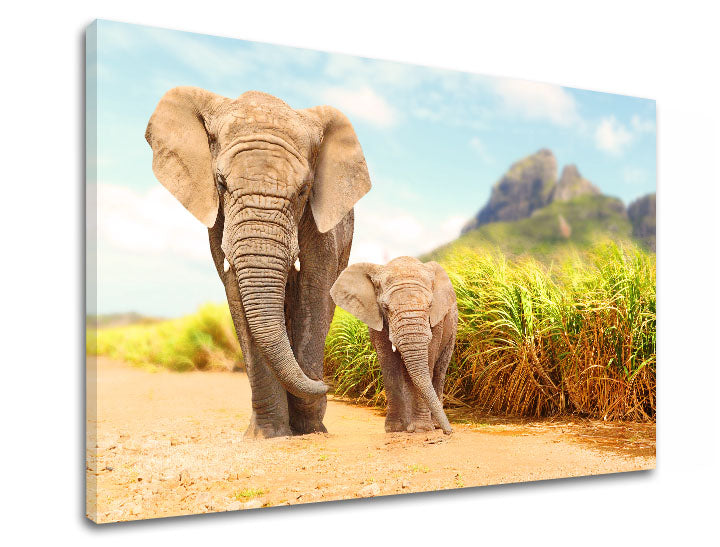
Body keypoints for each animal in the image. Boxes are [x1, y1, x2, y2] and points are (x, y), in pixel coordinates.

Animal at [145, 87, 372, 438]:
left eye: (304, 190)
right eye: (221, 183)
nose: (329, 384)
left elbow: (314, 291)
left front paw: (309, 428)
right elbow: (237, 294)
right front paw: (268, 435)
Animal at [330, 257, 457, 435]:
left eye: (430, 306)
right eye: (385, 307)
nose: (449, 432)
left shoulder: (436, 322)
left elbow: (429, 360)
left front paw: (422, 429)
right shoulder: (377, 319)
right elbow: (389, 365)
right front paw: (394, 429)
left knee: (439, 371)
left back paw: (432, 425)